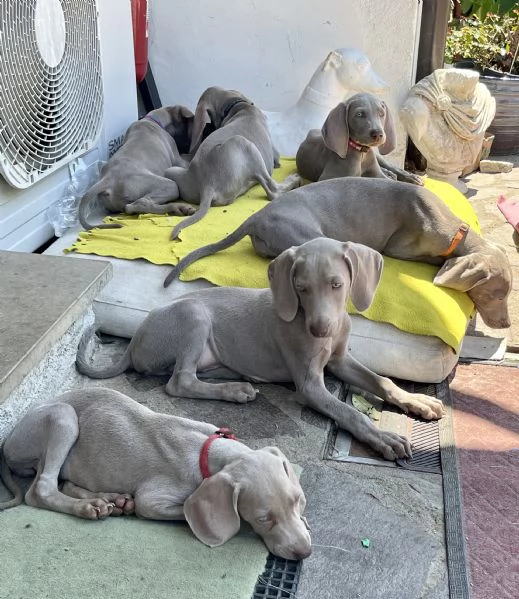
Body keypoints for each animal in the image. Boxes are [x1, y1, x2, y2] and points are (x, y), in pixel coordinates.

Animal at [0, 386, 310, 560]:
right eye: (263, 518)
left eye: (297, 502)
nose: (304, 552)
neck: (208, 449)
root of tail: (8, 441)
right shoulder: (152, 499)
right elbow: (183, 511)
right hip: (63, 416)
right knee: (41, 488)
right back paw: (88, 506)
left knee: (63, 483)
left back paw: (109, 500)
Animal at [75, 238, 444, 460]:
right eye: (300, 288)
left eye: (337, 285)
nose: (319, 330)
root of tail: (136, 339)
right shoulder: (309, 386)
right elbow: (350, 412)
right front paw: (383, 438)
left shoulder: (339, 360)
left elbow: (383, 381)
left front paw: (418, 401)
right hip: (193, 314)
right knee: (179, 382)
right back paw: (235, 391)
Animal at [162, 86, 300, 239]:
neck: (237, 105)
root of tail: (207, 185)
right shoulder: (274, 154)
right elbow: (277, 160)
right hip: (243, 142)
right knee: (272, 191)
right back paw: (293, 180)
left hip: (172, 171)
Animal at [166, 178, 512, 330]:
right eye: (496, 294)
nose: (507, 325)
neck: (455, 230)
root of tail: (257, 216)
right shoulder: (399, 247)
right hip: (311, 236)